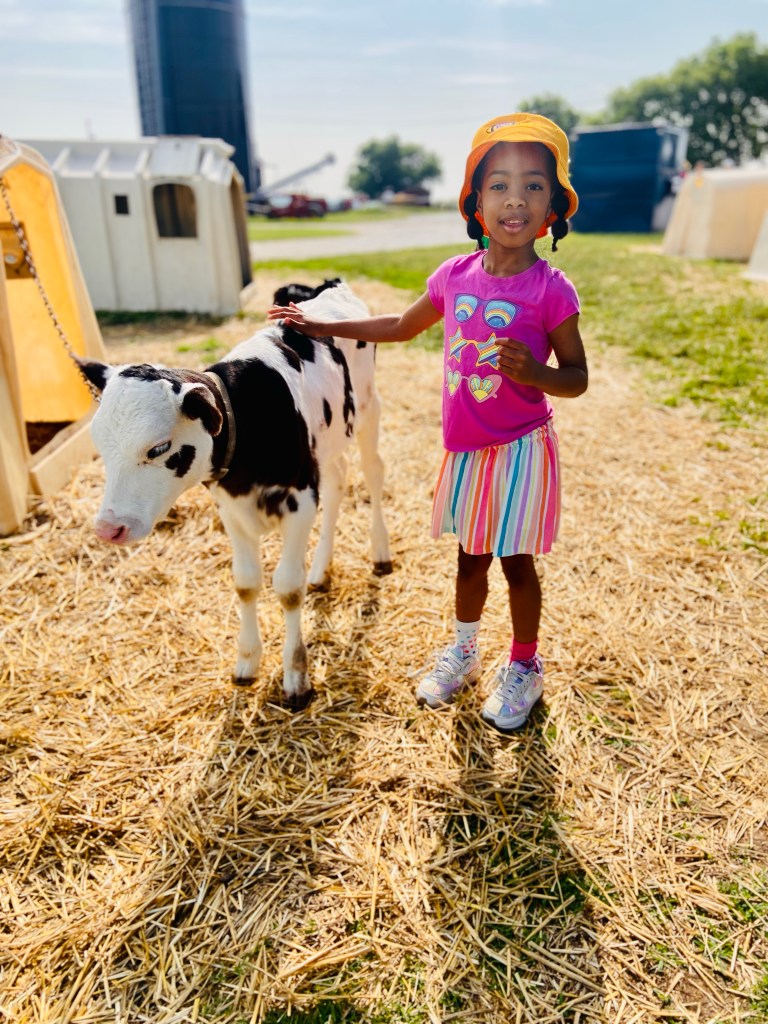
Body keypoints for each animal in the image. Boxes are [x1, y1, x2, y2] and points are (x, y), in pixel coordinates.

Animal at [78, 281, 392, 709]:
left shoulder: (300, 501)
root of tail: (327, 285)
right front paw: (247, 662)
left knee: (373, 472)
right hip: (328, 441)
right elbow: (245, 582)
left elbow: (287, 588)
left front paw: (296, 676)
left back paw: (380, 553)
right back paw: (320, 570)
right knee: (338, 480)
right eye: (99, 445)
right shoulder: (231, 510)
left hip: (367, 409)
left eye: (158, 448)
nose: (109, 528)